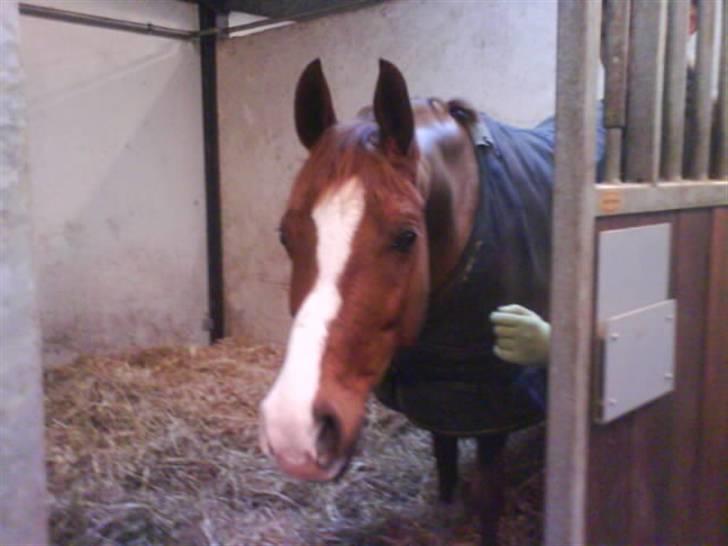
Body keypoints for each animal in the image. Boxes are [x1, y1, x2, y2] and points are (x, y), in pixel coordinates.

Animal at [259, 58, 565, 545]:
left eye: (406, 236)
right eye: (285, 235)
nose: (295, 432)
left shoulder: (493, 411)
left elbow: (489, 499)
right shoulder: (442, 399)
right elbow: (445, 470)